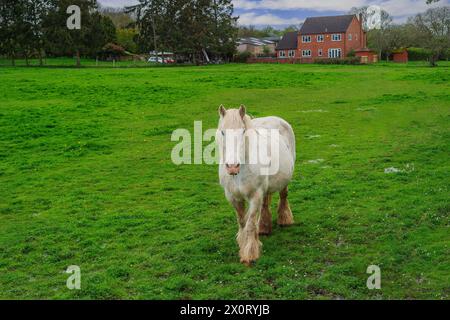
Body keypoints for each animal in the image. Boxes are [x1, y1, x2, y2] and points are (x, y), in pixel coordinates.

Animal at [217, 104, 298, 264]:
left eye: (243, 131)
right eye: (222, 132)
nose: (232, 167)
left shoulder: (255, 196)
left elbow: (249, 224)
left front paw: (249, 253)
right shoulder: (233, 197)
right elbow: (242, 222)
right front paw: (243, 243)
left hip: (284, 181)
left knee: (283, 196)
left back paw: (284, 219)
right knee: (265, 203)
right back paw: (263, 228)